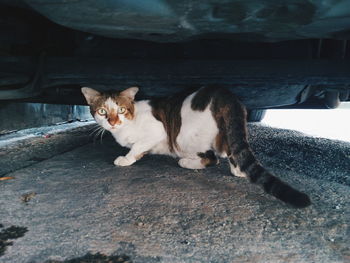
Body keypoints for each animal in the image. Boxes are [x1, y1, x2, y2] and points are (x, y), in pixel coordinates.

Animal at [82, 85, 312, 209]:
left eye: (121, 109)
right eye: (102, 111)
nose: (113, 122)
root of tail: (224, 93)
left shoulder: (158, 130)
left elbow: (136, 147)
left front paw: (126, 159)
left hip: (183, 136)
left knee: (212, 158)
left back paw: (187, 162)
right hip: (228, 128)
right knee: (232, 150)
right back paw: (238, 169)